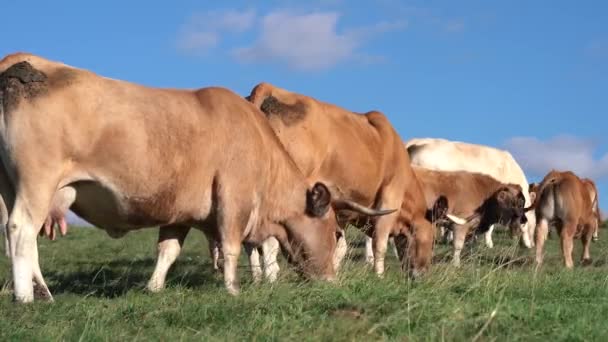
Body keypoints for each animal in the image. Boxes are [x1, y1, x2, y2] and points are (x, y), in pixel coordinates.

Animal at [245, 83, 434, 278]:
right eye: (433, 242)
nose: (422, 274)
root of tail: (268, 87)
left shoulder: (340, 212)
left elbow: (339, 245)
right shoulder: (390, 196)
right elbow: (379, 244)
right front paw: (379, 276)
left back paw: (257, 277)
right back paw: (271, 276)